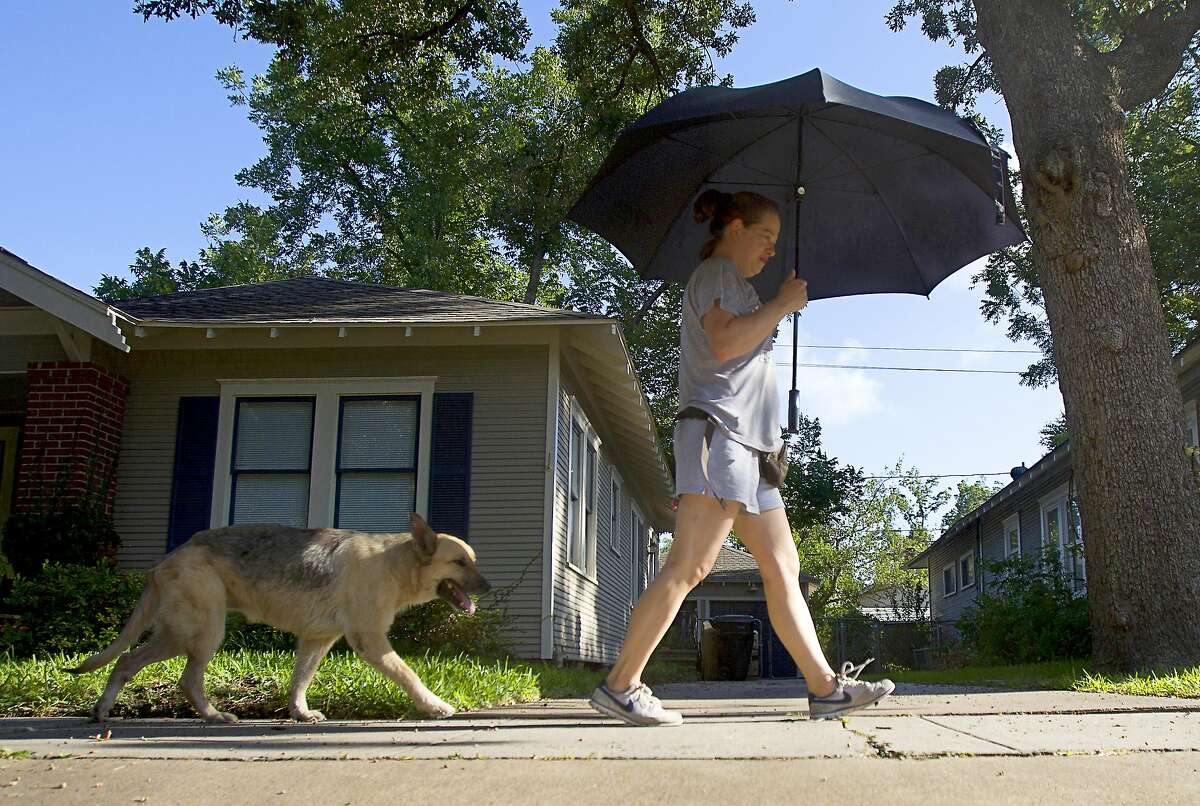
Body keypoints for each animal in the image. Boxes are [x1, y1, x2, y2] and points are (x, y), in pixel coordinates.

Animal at [68, 513, 489, 719]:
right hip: (198, 632)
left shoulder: (317, 640)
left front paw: (299, 714)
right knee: (166, 673)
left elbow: (300, 681)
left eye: (474, 560)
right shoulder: (369, 640)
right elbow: (409, 674)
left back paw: (104, 711)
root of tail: (164, 562)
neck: (396, 564)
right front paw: (434, 706)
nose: (489, 586)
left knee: (129, 662)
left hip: (186, 633)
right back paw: (213, 716)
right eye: (459, 562)